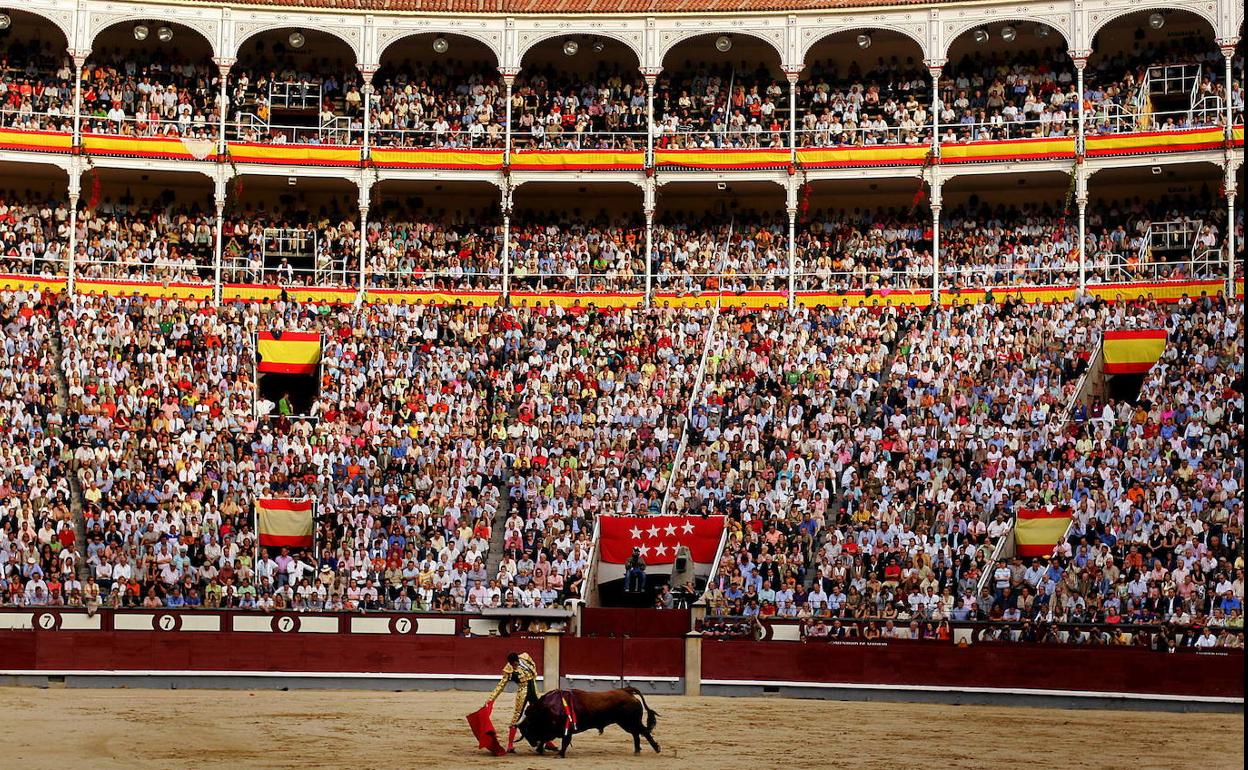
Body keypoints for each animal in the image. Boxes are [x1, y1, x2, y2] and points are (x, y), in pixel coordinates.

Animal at [514, 683, 658, 758]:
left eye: (527, 728)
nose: (532, 743)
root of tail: (626, 691)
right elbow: (545, 738)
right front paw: (540, 750)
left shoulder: (566, 730)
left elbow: (565, 741)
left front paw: (560, 754)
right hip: (628, 723)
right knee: (636, 734)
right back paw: (637, 751)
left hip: (630, 721)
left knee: (643, 731)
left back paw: (656, 748)